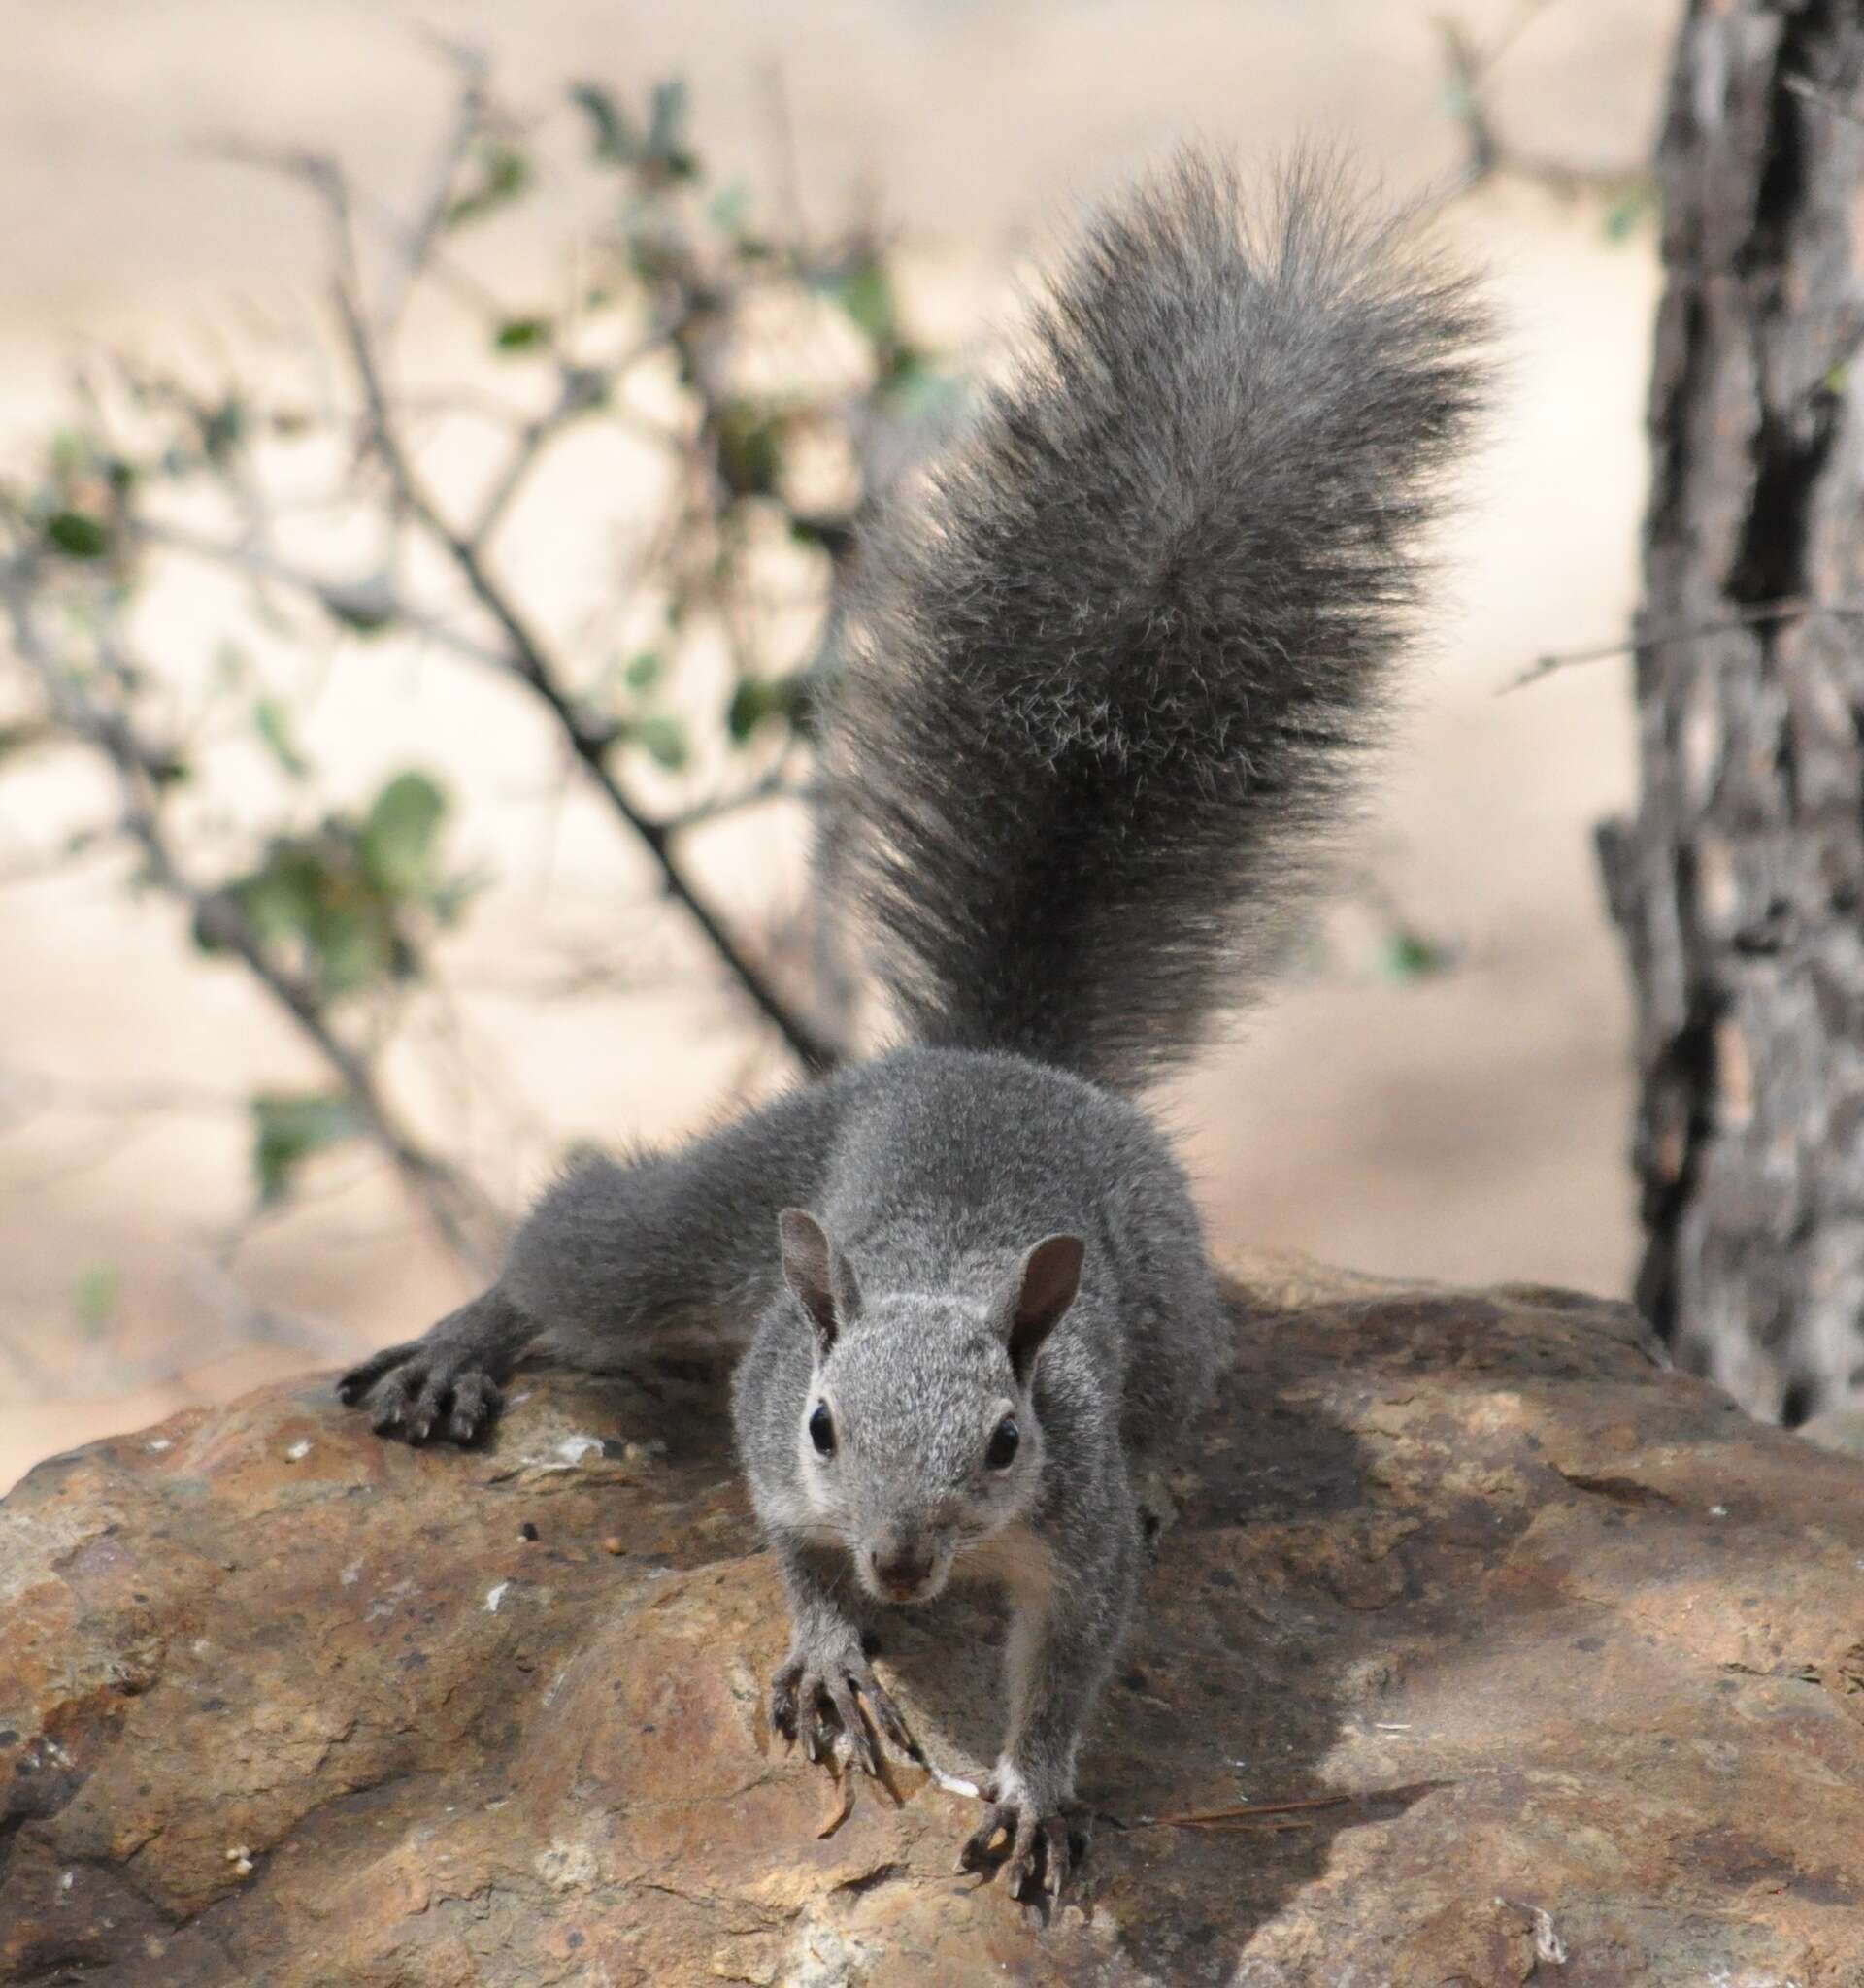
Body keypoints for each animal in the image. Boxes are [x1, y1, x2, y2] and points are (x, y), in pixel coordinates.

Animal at [342, 147, 1486, 1900]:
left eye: (1007, 1442)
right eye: (825, 1423)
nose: (899, 1559)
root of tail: (995, 1057)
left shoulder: (1072, 1536)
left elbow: (1075, 1655)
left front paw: (1035, 1784)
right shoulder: (768, 1437)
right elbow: (778, 1546)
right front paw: (831, 1648)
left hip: (1181, 1306)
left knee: (1173, 1403)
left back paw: (1168, 1471)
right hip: (728, 1203)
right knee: (580, 1248)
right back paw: (462, 1348)